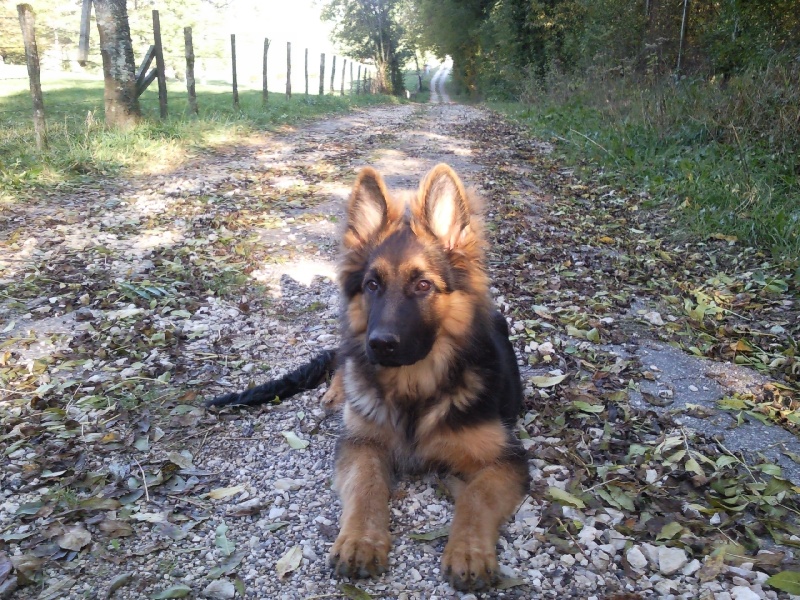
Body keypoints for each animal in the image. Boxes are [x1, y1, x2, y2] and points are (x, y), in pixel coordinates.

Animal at [207, 164, 529, 591]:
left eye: (423, 285)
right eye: (372, 285)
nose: (379, 345)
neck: (414, 389)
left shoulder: (507, 460)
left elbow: (476, 497)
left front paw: (469, 551)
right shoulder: (361, 443)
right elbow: (367, 484)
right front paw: (361, 540)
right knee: (342, 362)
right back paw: (337, 390)